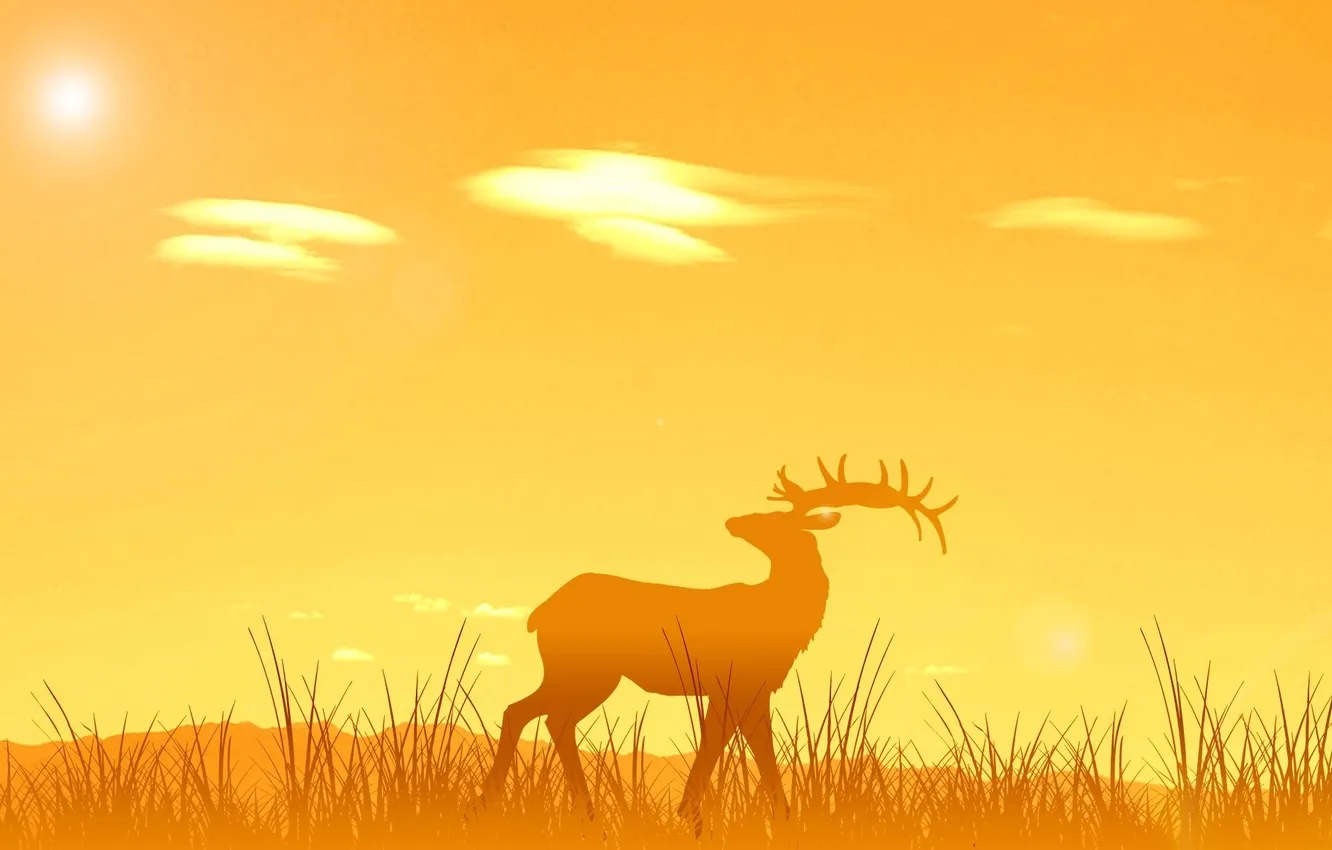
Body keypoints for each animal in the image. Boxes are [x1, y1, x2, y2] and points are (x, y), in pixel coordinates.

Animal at [478, 454, 957, 835]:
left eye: (778, 519)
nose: (734, 521)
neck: (780, 618)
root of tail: (540, 613)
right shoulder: (734, 682)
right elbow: (730, 746)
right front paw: (705, 818)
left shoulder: (746, 688)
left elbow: (736, 746)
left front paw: (739, 817)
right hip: (585, 670)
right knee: (534, 713)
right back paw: (509, 803)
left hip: (586, 674)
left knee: (543, 716)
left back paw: (566, 809)